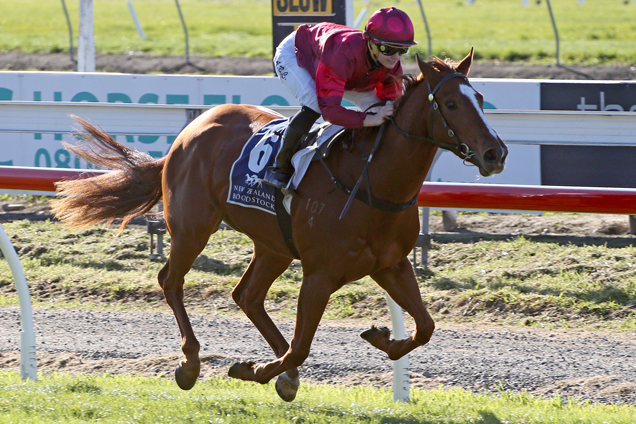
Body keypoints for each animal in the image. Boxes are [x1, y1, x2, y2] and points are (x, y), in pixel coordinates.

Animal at [52, 49, 506, 400]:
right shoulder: (320, 275)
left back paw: (278, 371)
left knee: (247, 295)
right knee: (171, 280)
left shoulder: (391, 265)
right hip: (192, 226)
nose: (495, 153)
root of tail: (188, 132)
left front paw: (382, 337)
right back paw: (191, 362)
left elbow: (426, 327)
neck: (373, 182)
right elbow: (301, 347)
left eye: (481, 97)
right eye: (451, 104)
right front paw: (252, 370)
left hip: (273, 244)